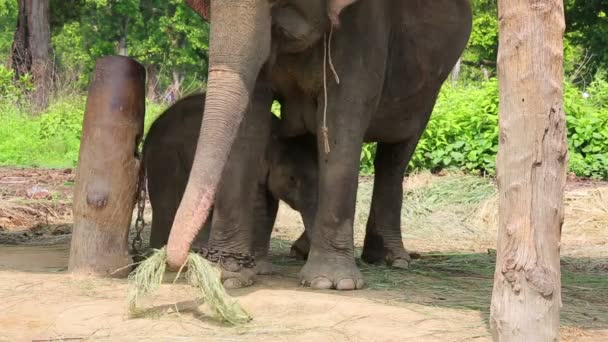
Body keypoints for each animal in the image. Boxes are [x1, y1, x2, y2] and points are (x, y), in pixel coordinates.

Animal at [141, 95, 316, 276]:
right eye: (292, 179)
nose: (301, 254)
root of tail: (150, 131)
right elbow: (259, 206)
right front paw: (261, 268)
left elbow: (270, 207)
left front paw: (264, 268)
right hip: (166, 157)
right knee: (166, 202)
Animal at [167, 0, 476, 292]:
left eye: (276, 2)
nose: (185, 260)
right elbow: (249, 124)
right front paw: (226, 275)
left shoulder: (363, 29)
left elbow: (342, 119)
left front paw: (331, 283)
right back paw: (304, 250)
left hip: (428, 91)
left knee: (394, 157)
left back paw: (391, 259)